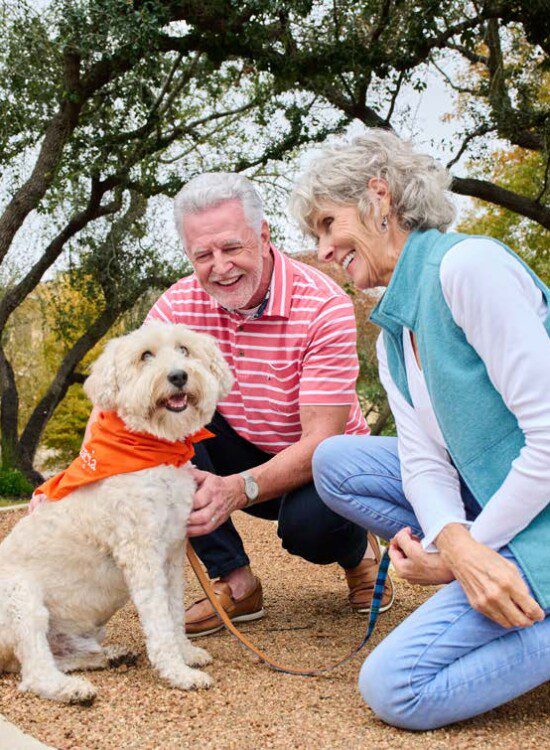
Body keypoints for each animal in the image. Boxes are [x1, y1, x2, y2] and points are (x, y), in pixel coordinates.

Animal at [0, 324, 235, 704]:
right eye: (145, 355)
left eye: (184, 350)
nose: (178, 376)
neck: (154, 451)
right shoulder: (142, 556)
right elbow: (159, 620)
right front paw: (178, 672)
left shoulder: (171, 555)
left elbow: (174, 611)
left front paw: (186, 653)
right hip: (20, 597)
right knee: (33, 671)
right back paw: (70, 689)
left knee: (54, 657)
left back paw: (106, 657)